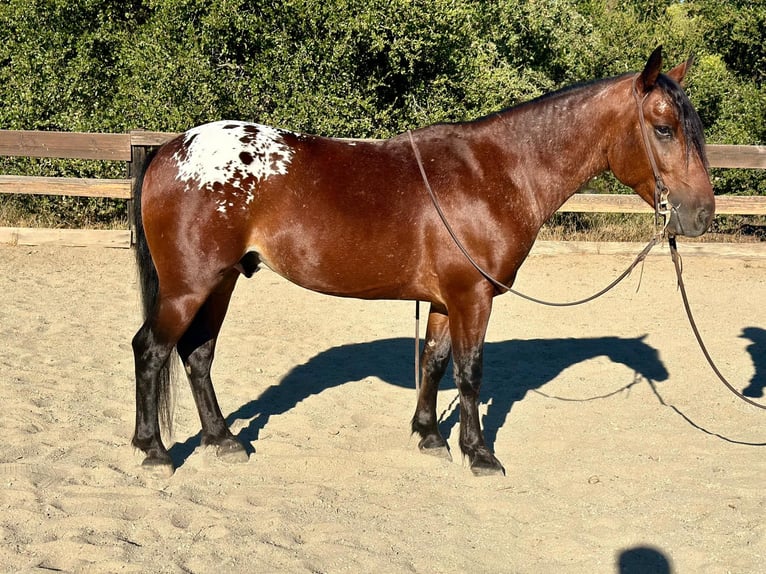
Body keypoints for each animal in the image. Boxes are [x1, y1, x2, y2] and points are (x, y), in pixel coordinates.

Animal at [131, 46, 714, 477]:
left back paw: (222, 439)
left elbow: (434, 362)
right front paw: (480, 454)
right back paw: (154, 450)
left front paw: (430, 436)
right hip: (189, 285)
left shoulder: (443, 300)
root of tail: (169, 150)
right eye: (664, 128)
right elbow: (471, 371)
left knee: (197, 355)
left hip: (222, 281)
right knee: (152, 350)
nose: (702, 214)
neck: (497, 173)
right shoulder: (472, 298)